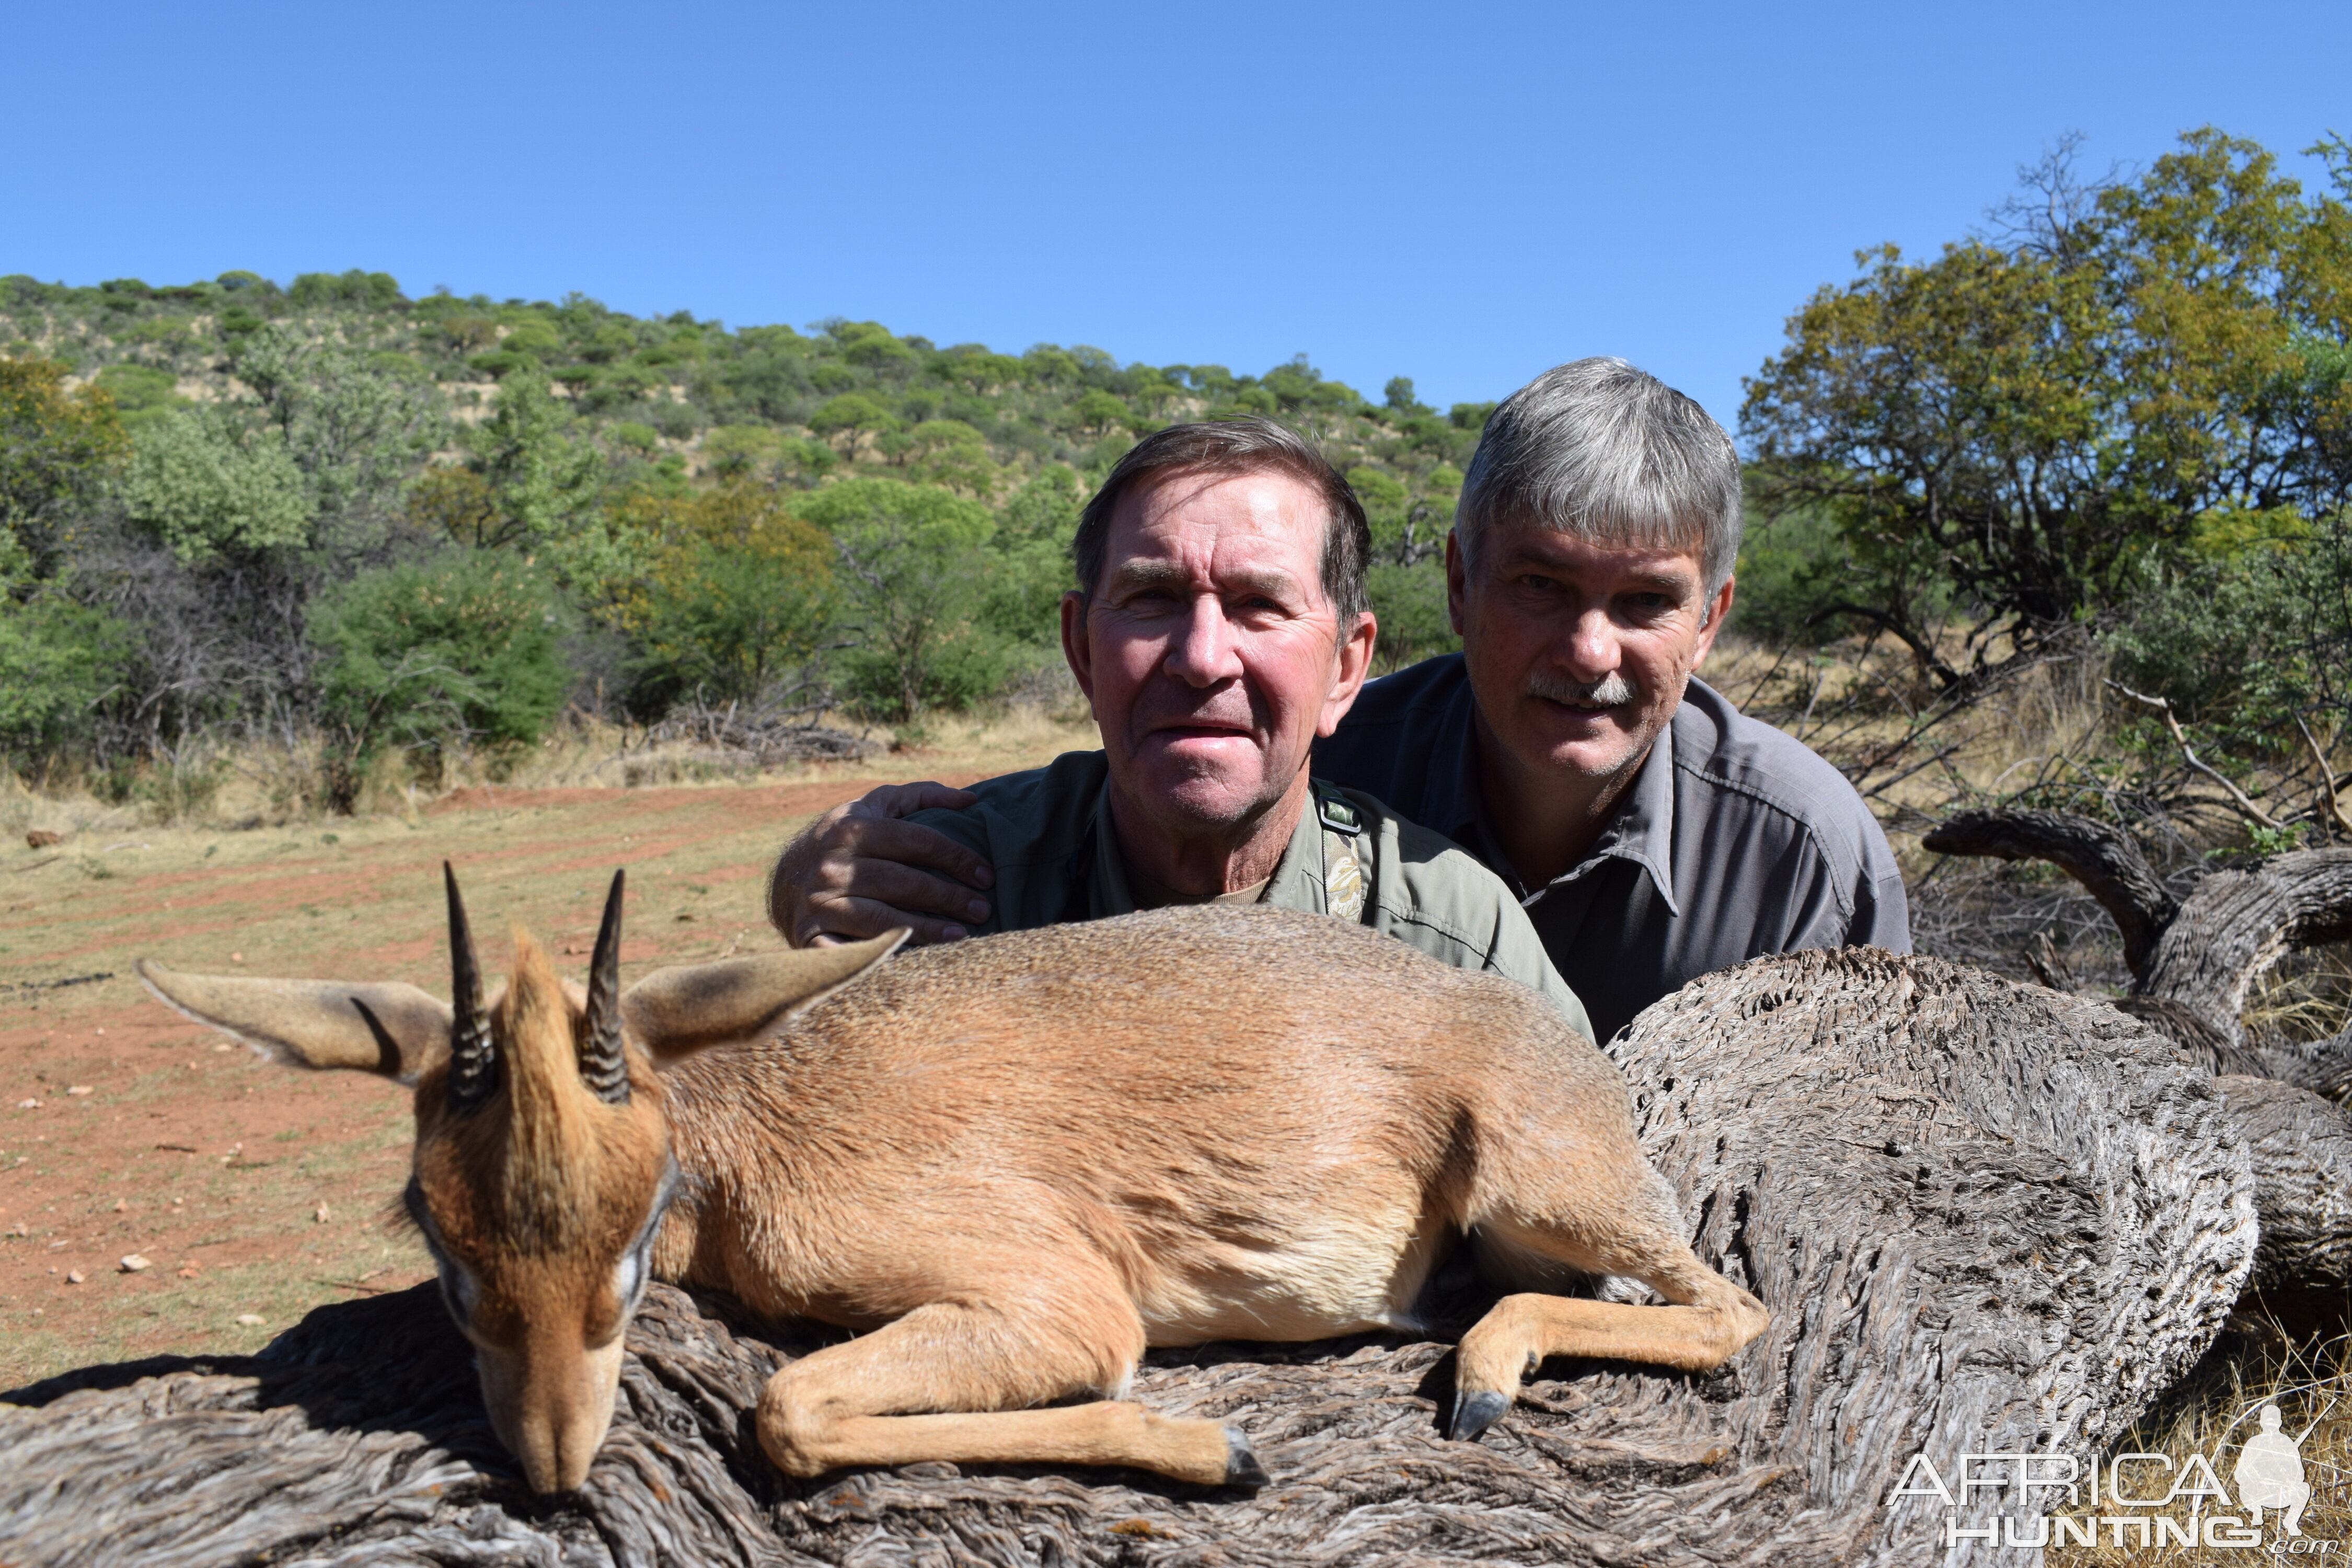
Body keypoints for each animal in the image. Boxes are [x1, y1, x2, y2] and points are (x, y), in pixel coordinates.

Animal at [142, 870, 1769, 1495]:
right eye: (435, 1228)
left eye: (641, 1221)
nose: (551, 1463)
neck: (747, 1137)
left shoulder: (1058, 1304)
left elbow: (791, 1410)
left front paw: (1212, 1448)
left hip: (1540, 1187)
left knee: (1731, 1311)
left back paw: (1479, 1375)